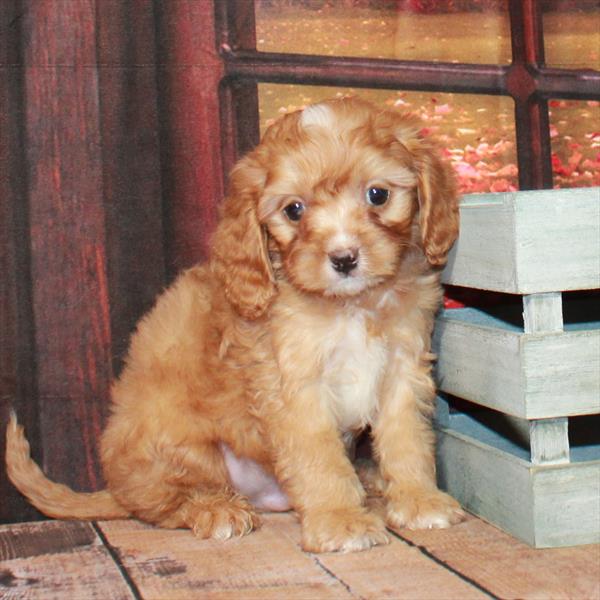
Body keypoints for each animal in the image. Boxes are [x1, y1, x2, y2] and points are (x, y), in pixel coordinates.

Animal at [5, 96, 464, 552]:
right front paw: (340, 520)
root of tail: (116, 489)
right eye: (294, 210)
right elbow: (320, 457)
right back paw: (215, 509)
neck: (350, 305)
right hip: (176, 442)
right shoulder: (294, 386)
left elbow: (407, 437)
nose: (344, 258)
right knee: (164, 503)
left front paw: (419, 499)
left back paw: (369, 481)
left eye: (378, 194)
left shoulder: (402, 367)